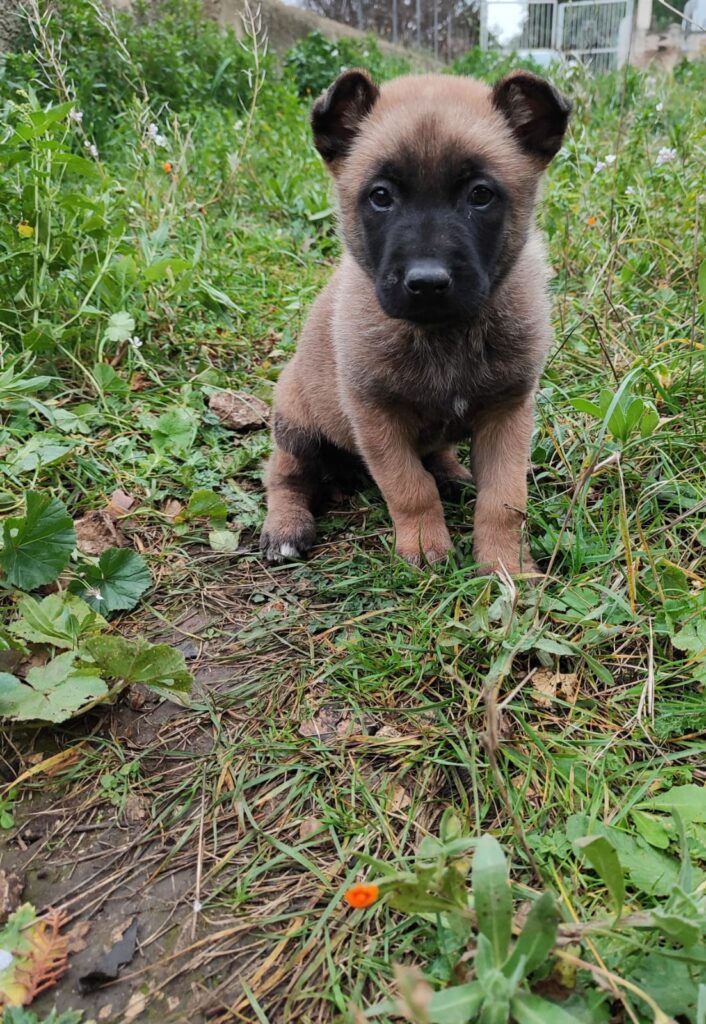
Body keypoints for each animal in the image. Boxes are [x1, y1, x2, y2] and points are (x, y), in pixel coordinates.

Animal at [261, 68, 569, 573]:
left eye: (480, 195)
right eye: (380, 196)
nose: (427, 282)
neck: (445, 333)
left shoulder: (507, 413)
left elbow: (504, 500)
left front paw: (506, 564)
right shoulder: (375, 417)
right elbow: (409, 488)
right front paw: (426, 547)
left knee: (437, 451)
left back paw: (454, 474)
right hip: (297, 424)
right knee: (285, 476)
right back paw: (285, 526)